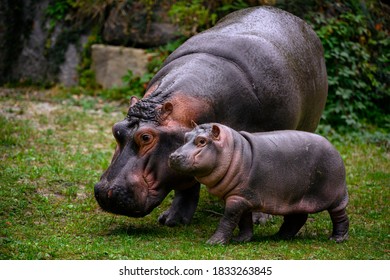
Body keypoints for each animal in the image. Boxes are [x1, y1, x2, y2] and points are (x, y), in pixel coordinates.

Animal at [169, 123, 348, 244]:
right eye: (185, 136)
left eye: (202, 141)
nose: (173, 156)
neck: (234, 150)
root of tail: (333, 147)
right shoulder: (242, 195)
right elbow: (243, 220)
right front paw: (242, 239)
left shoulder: (237, 198)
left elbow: (228, 219)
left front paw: (214, 242)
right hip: (296, 197)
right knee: (298, 218)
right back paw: (279, 236)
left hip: (335, 195)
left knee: (339, 216)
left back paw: (337, 239)